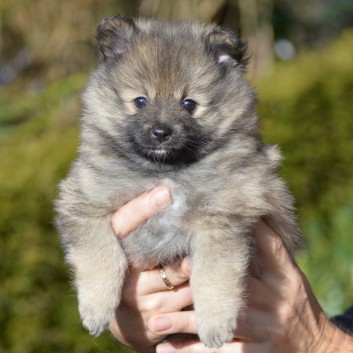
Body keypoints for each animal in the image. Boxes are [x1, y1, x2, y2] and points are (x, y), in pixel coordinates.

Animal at [54, 15, 300, 348]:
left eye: (188, 104)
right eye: (140, 101)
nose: (161, 132)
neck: (166, 171)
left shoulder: (223, 218)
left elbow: (212, 274)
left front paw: (215, 325)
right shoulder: (83, 201)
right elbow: (102, 255)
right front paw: (95, 310)